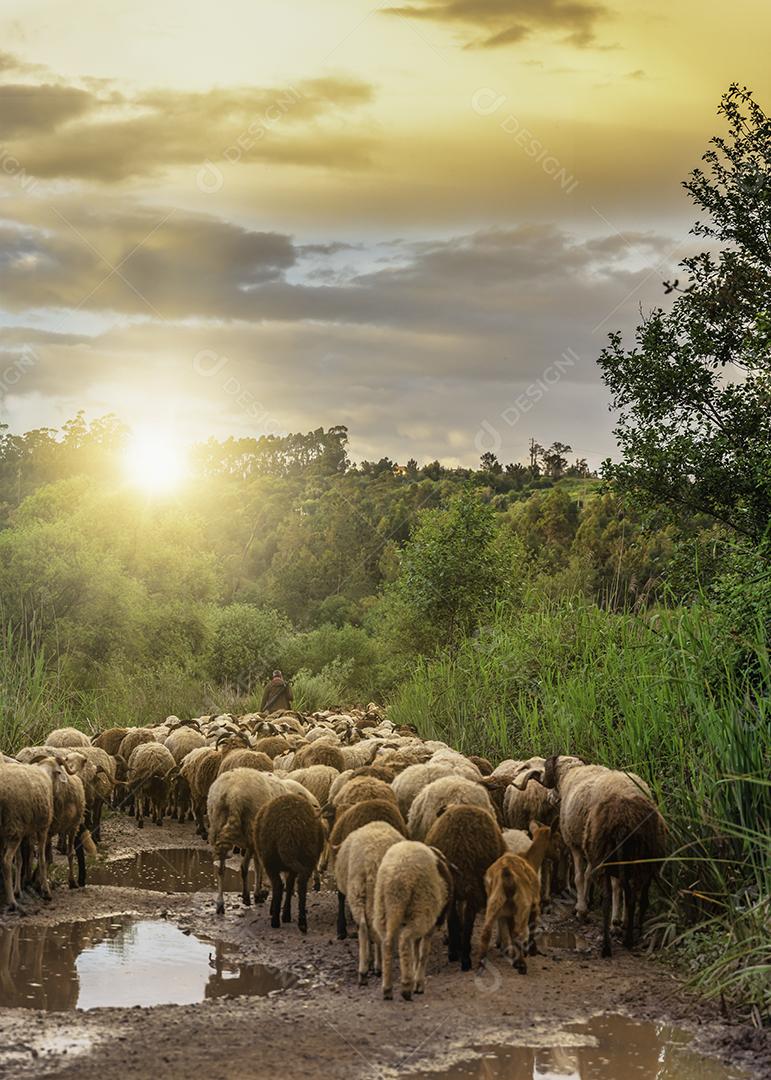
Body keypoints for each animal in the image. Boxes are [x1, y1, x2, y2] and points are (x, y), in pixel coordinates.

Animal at [0, 760, 53, 911]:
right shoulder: (42, 828)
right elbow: (42, 859)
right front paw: (46, 891)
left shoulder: (25, 832)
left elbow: (20, 860)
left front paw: (18, 890)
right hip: (13, 826)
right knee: (6, 861)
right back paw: (12, 902)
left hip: (9, 830)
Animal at [252, 790, 323, 933]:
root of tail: (288, 828)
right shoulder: (293, 868)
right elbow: (290, 885)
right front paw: (286, 914)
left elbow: (285, 886)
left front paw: (280, 912)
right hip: (306, 854)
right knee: (301, 883)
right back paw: (302, 922)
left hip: (270, 861)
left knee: (278, 885)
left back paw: (275, 920)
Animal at [332, 820, 401, 984]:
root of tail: (372, 857)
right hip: (370, 891)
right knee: (371, 926)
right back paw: (374, 967)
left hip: (358, 889)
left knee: (365, 926)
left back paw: (366, 970)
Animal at [371, 838, 451, 997]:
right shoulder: (430, 926)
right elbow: (422, 953)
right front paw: (418, 983)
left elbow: (415, 952)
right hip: (421, 909)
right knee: (403, 940)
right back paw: (406, 986)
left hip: (383, 909)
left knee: (387, 942)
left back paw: (387, 988)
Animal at [421, 803, 505, 972]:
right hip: (472, 886)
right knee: (465, 922)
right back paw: (463, 956)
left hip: (461, 887)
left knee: (460, 920)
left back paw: (459, 954)